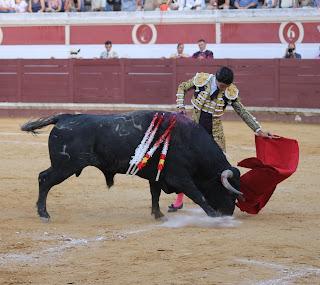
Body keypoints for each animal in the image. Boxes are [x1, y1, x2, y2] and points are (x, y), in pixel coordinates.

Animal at [21, 110, 242, 220]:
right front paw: (212, 215)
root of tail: (64, 117)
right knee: (44, 179)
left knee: (43, 178)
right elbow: (198, 195)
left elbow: (155, 194)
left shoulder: (158, 175)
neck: (190, 141)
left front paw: (158, 215)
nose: (228, 214)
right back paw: (43, 213)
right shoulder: (179, 176)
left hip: (64, 166)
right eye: (229, 192)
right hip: (64, 167)